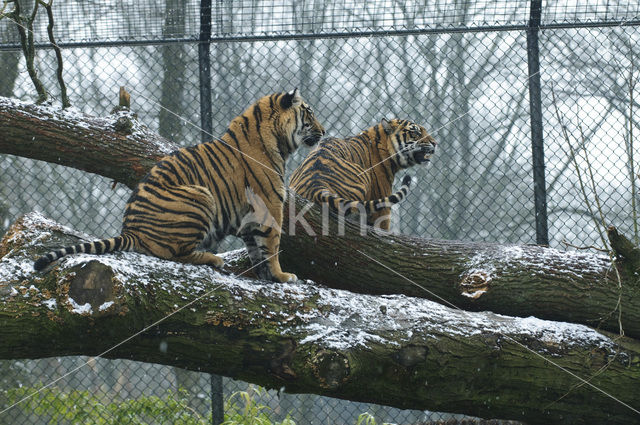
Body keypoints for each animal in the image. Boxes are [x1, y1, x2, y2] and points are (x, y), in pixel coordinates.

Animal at [33, 88, 324, 282]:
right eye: (309, 112)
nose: (324, 131)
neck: (277, 140)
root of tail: (131, 229)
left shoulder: (251, 215)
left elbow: (256, 248)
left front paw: (262, 275)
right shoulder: (270, 205)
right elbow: (272, 245)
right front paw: (282, 276)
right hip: (200, 196)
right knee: (173, 253)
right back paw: (214, 259)